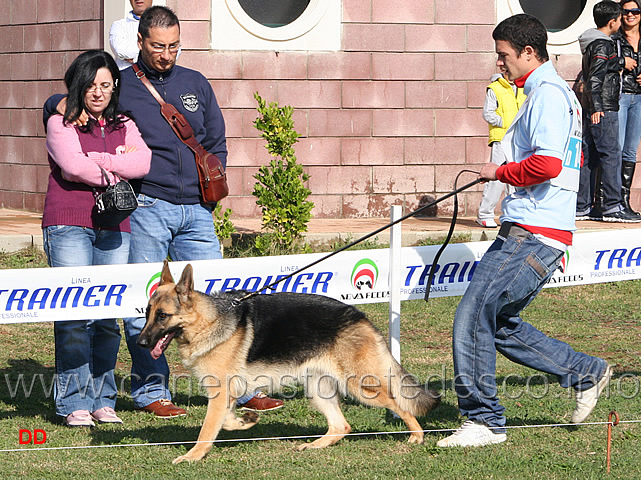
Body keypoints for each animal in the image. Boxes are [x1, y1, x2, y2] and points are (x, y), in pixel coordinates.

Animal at [139, 260, 440, 464]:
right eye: (146, 313)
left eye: (162, 315)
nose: (141, 343)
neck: (209, 322)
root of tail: (359, 316)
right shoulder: (226, 394)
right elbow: (225, 422)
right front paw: (246, 421)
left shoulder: (221, 392)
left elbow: (207, 429)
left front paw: (193, 455)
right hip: (319, 390)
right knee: (341, 426)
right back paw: (315, 446)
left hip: (360, 387)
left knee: (397, 403)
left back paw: (417, 435)